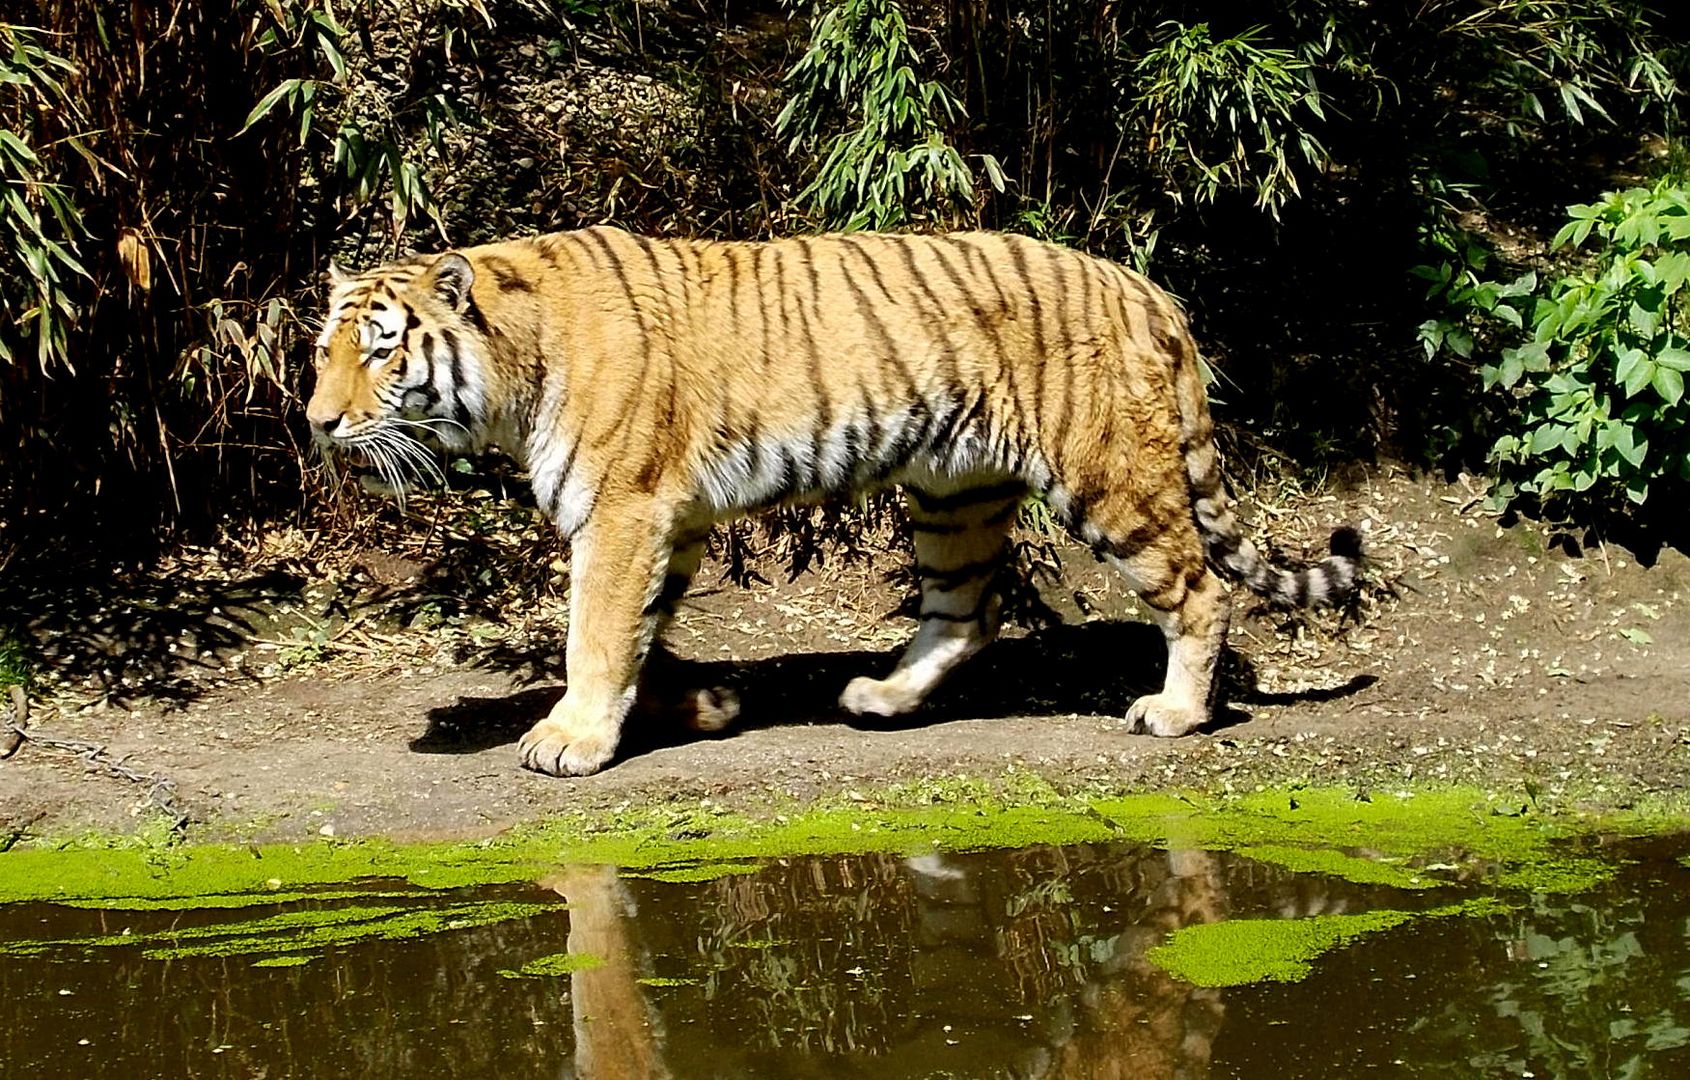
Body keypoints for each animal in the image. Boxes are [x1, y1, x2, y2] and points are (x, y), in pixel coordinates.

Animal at [304, 228, 1358, 777]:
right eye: (324, 350)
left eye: (384, 351)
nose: (316, 422)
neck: (511, 363)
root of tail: (1148, 289)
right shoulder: (669, 522)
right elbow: (645, 631)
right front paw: (700, 706)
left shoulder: (624, 510)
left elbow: (596, 634)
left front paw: (570, 738)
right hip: (954, 493)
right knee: (967, 613)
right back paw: (880, 697)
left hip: (1107, 477)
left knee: (1200, 589)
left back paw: (1174, 713)